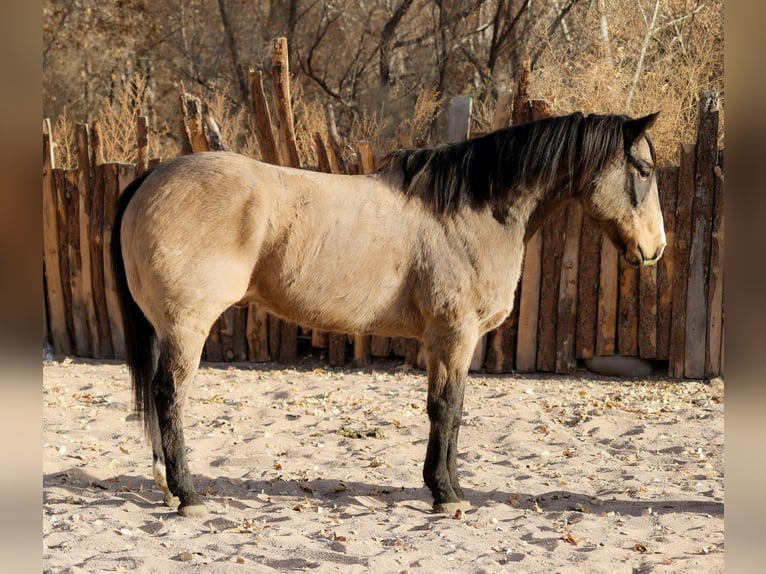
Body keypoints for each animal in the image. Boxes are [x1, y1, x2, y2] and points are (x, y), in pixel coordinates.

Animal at [109, 110, 664, 520]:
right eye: (643, 171)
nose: (656, 250)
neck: (468, 212)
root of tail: (152, 176)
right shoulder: (454, 336)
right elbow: (448, 410)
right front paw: (447, 495)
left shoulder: (448, 342)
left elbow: (449, 412)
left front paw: (447, 487)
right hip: (187, 327)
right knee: (170, 396)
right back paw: (188, 495)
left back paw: (167, 487)